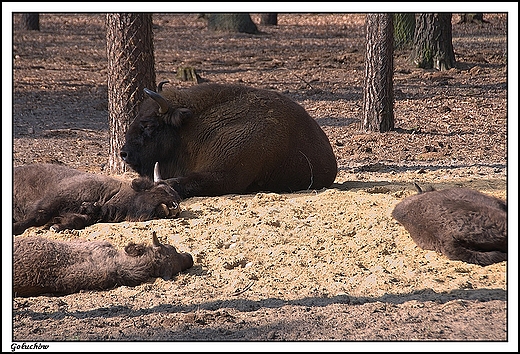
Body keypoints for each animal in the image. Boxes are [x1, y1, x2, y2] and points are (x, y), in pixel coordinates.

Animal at [13, 162, 182, 235]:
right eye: (161, 190)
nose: (176, 206)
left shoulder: (86, 215)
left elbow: (77, 220)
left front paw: (56, 227)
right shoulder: (52, 202)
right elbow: (37, 217)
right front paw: (15, 228)